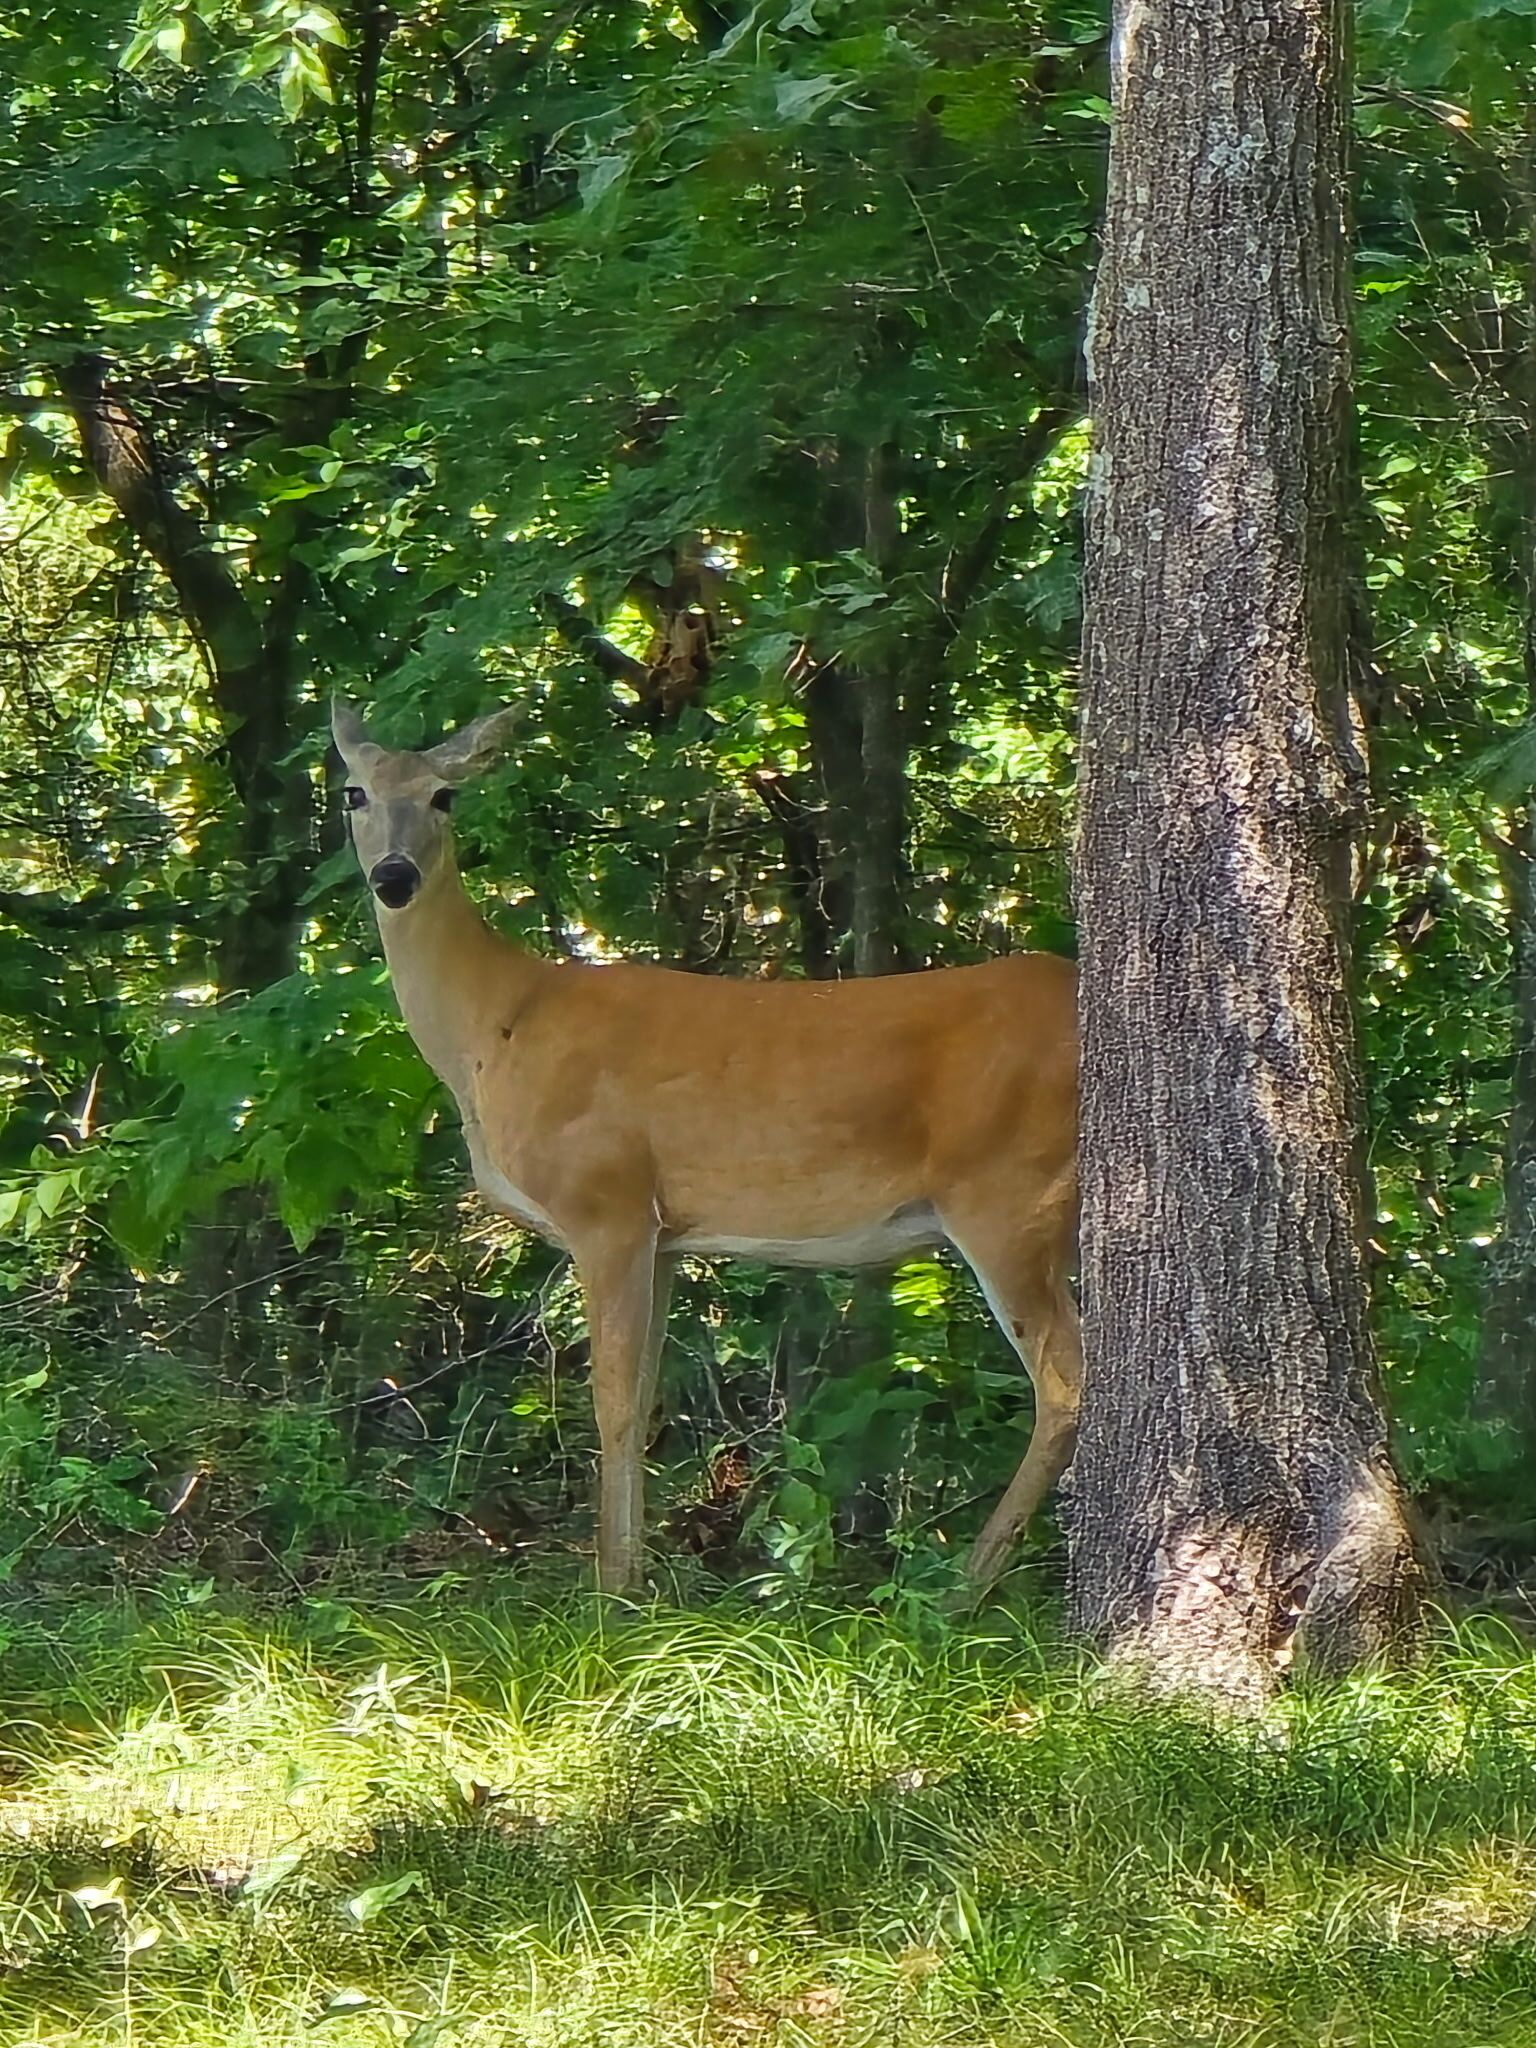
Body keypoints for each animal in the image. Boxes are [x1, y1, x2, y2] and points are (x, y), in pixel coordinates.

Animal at [332, 699, 1081, 1594]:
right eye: (353, 792)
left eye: (444, 796)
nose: (394, 877)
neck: (496, 1028)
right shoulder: (661, 1233)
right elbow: (646, 1395)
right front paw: (637, 1580)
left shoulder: (606, 1200)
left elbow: (613, 1403)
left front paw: (610, 1591)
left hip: (1009, 1193)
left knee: (1067, 1385)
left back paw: (965, 1586)